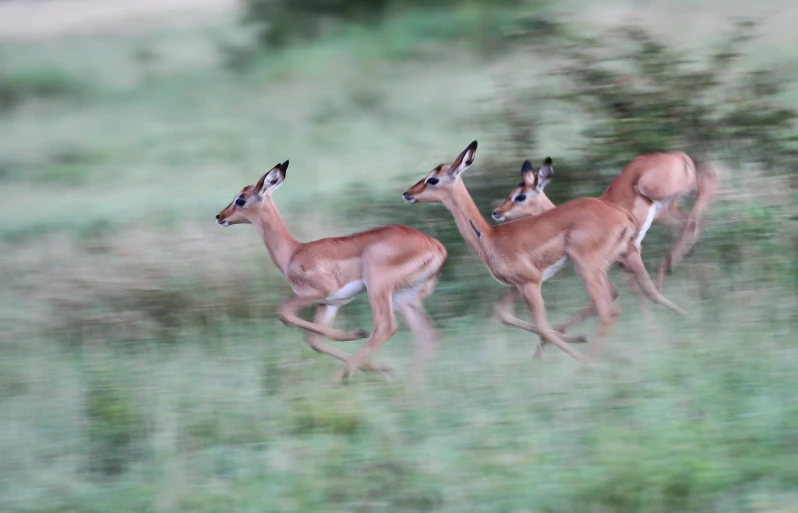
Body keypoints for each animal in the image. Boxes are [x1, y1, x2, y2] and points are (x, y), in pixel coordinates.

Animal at [216, 162, 446, 382]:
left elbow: (284, 313)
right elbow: (314, 340)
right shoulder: (330, 303)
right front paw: (382, 367)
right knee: (427, 336)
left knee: (385, 328)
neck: (294, 252)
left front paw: (356, 334)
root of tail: (435, 245)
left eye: (240, 199)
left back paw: (339, 380)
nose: (220, 216)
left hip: (378, 288)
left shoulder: (316, 293)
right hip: (403, 298)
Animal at [404, 142, 680, 362]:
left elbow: (543, 327)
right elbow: (503, 314)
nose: (408, 193)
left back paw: (589, 365)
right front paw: (574, 339)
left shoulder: (530, 283)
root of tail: (621, 215)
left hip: (588, 267)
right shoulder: (516, 286)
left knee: (610, 310)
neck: (491, 237)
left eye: (433, 179)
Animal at [494, 154, 720, 330]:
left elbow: (639, 293)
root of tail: (678, 155)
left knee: (707, 182)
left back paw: (671, 265)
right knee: (697, 211)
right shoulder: (622, 266)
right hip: (666, 210)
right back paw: (683, 257)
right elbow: (635, 295)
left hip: (657, 192)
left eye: (520, 196)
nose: (496, 212)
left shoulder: (626, 256)